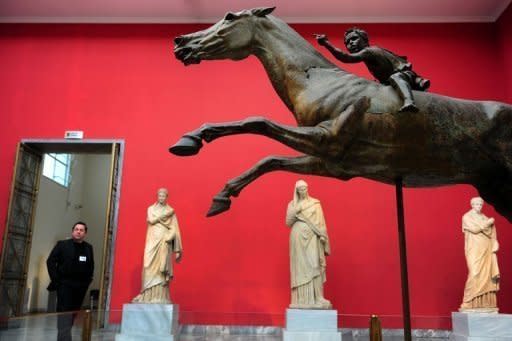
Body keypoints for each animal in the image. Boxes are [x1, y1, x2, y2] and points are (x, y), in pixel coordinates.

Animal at [172, 7, 512, 220]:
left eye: (230, 16)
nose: (181, 43)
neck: (317, 80)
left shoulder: (327, 139)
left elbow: (258, 121)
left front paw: (190, 139)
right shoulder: (332, 164)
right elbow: (270, 160)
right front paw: (221, 197)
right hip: (495, 190)